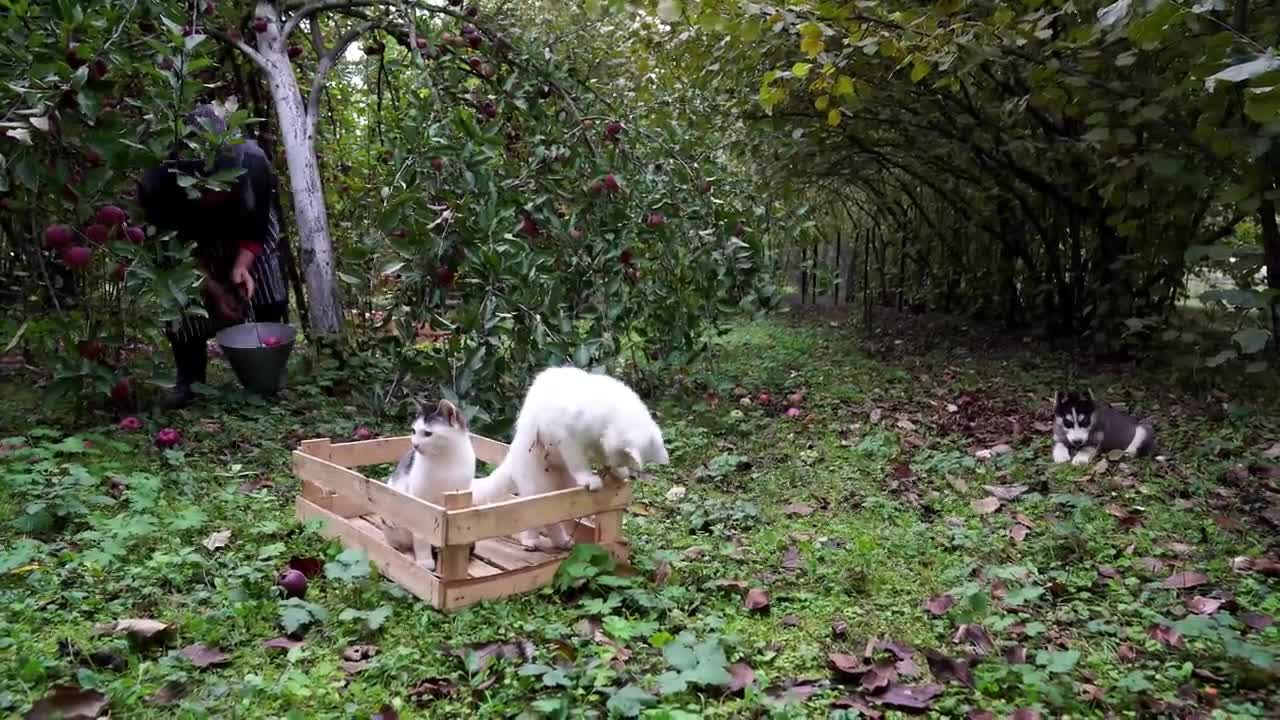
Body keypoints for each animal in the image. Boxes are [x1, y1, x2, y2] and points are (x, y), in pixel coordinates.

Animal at [384, 394, 481, 568]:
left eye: (428, 433)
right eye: (413, 431)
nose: (415, 444)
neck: (443, 459)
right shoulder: (421, 503)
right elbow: (422, 536)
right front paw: (425, 561)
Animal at [471, 366, 670, 545]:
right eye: (622, 457)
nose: (617, 466)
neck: (610, 418)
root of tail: (511, 458)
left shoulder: (597, 443)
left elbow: (600, 454)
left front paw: (618, 472)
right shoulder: (568, 440)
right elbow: (579, 463)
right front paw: (590, 479)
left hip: (559, 490)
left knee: (553, 517)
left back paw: (561, 542)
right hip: (538, 488)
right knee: (533, 515)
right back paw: (532, 541)